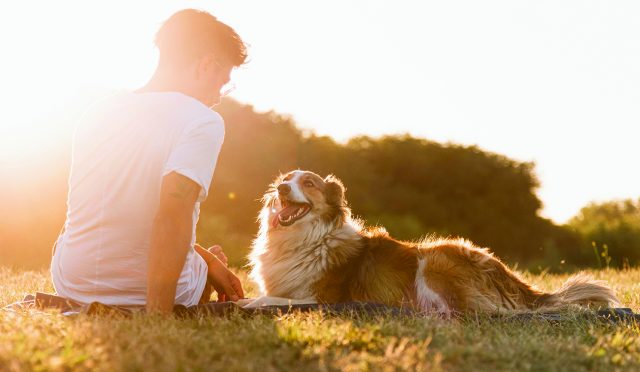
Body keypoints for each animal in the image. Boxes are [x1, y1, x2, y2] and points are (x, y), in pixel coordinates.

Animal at [242, 171, 616, 314]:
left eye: (308, 182)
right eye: (285, 179)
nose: (281, 189)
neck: (304, 238)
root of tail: (514, 281)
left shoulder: (322, 298)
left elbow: (274, 299)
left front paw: (250, 303)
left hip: (435, 258)